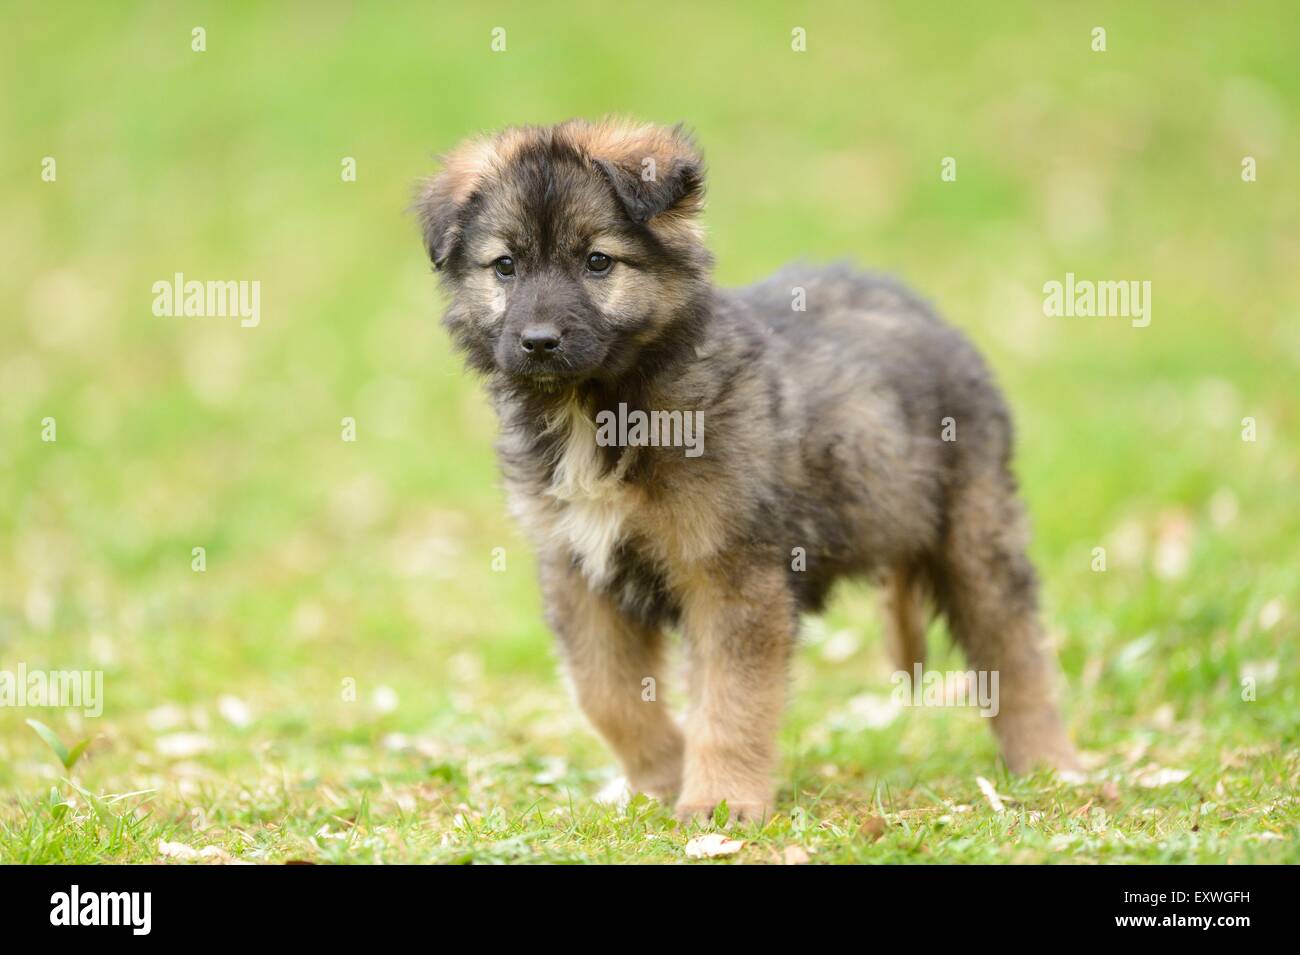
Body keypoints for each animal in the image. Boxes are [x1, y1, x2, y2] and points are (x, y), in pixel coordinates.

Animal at [416, 117, 1076, 821]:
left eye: (597, 261)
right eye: (505, 267)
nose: (539, 342)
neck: (602, 411)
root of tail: (928, 313)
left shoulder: (731, 572)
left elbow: (731, 701)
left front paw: (720, 801)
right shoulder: (580, 572)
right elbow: (608, 695)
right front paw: (663, 775)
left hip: (975, 535)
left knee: (1018, 653)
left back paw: (1051, 766)